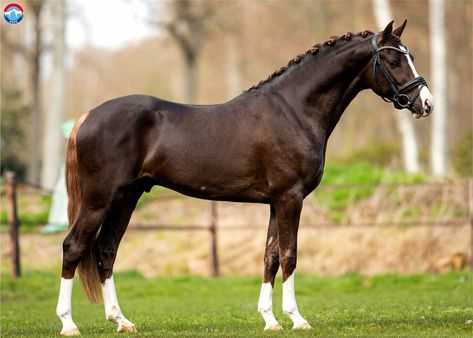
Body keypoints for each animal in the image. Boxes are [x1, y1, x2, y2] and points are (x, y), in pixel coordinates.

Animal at [55, 21, 432, 336]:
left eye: (410, 57)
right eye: (394, 61)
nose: (426, 103)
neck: (294, 110)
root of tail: (87, 116)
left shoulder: (275, 202)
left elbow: (271, 256)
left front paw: (270, 320)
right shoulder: (290, 197)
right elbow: (290, 254)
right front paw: (297, 318)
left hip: (126, 198)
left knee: (106, 251)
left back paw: (122, 321)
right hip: (99, 201)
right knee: (73, 247)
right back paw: (69, 324)